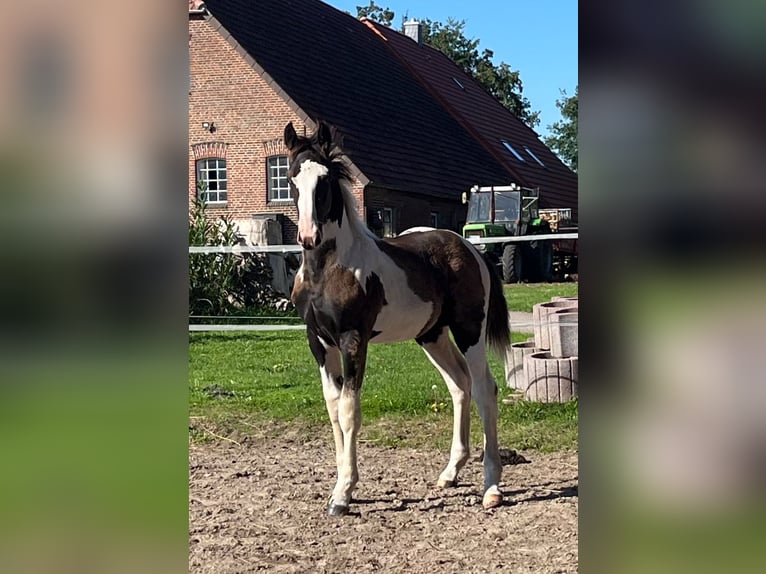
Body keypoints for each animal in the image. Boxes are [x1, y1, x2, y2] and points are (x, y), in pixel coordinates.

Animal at [284, 120, 512, 516]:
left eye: (324, 180)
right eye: (290, 178)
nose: (308, 236)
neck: (327, 271)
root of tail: (470, 248)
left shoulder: (352, 340)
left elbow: (350, 411)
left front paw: (343, 494)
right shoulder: (319, 342)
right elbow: (333, 410)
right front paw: (338, 489)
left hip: (470, 330)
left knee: (485, 388)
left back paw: (491, 487)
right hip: (432, 335)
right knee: (459, 384)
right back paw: (450, 473)